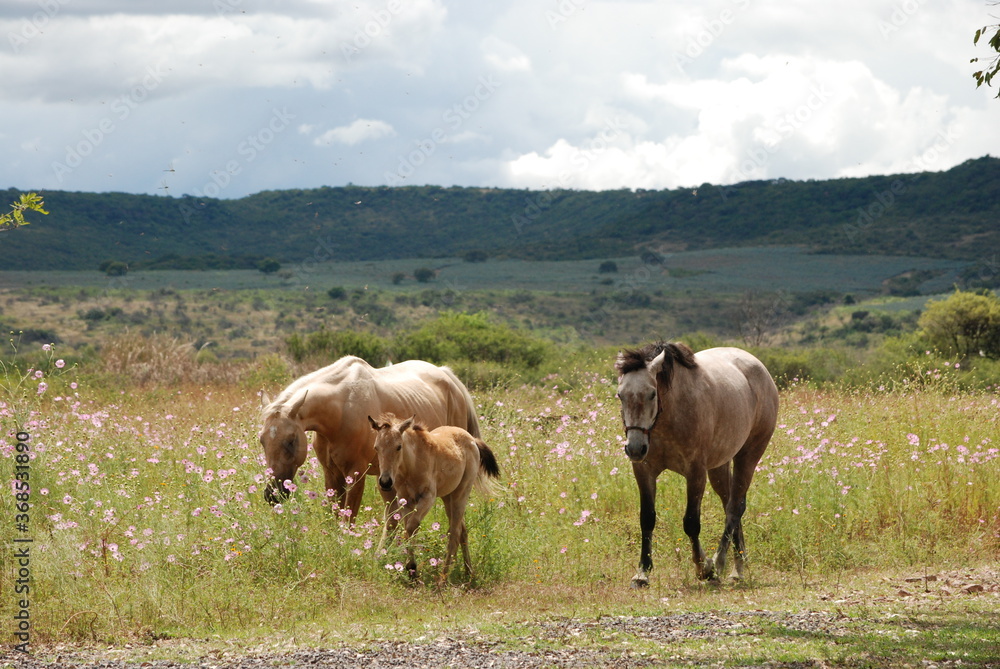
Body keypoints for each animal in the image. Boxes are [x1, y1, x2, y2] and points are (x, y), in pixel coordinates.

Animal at [256, 354, 478, 520]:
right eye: (262, 440)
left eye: (291, 440)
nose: (272, 494)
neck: (341, 411)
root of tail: (446, 375)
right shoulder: (332, 474)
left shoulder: (356, 474)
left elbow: (349, 517)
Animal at [368, 410, 500, 580]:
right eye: (376, 447)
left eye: (398, 447)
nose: (385, 482)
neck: (412, 465)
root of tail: (472, 440)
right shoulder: (405, 500)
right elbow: (408, 529)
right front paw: (411, 570)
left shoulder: (428, 498)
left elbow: (411, 526)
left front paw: (412, 567)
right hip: (448, 497)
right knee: (462, 530)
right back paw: (468, 572)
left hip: (461, 493)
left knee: (454, 532)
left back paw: (443, 577)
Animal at [612, 342, 776, 588]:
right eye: (620, 395)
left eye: (652, 394)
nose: (635, 448)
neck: (670, 414)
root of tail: (760, 369)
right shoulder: (644, 471)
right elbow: (647, 518)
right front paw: (642, 573)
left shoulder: (696, 473)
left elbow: (691, 522)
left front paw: (704, 568)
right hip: (719, 466)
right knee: (730, 504)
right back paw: (738, 567)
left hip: (748, 455)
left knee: (735, 508)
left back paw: (721, 563)